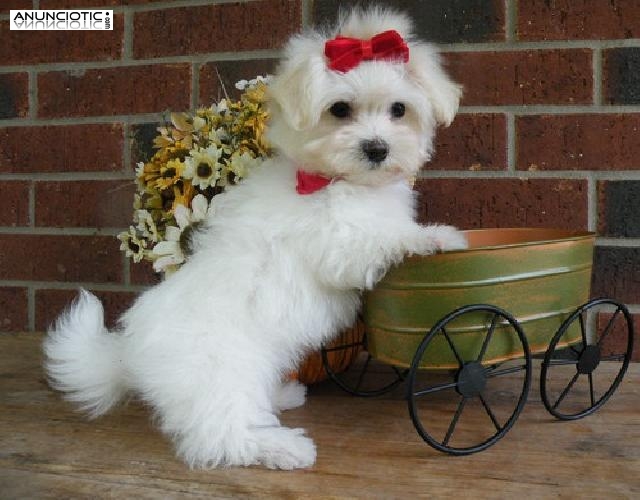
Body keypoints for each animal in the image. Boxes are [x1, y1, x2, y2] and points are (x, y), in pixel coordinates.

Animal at [43, 6, 464, 468]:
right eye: (340, 110)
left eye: (398, 110)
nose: (377, 148)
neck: (330, 179)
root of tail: (128, 354)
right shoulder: (337, 241)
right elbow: (384, 237)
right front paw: (437, 237)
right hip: (222, 368)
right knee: (221, 433)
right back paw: (281, 447)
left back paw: (281, 397)